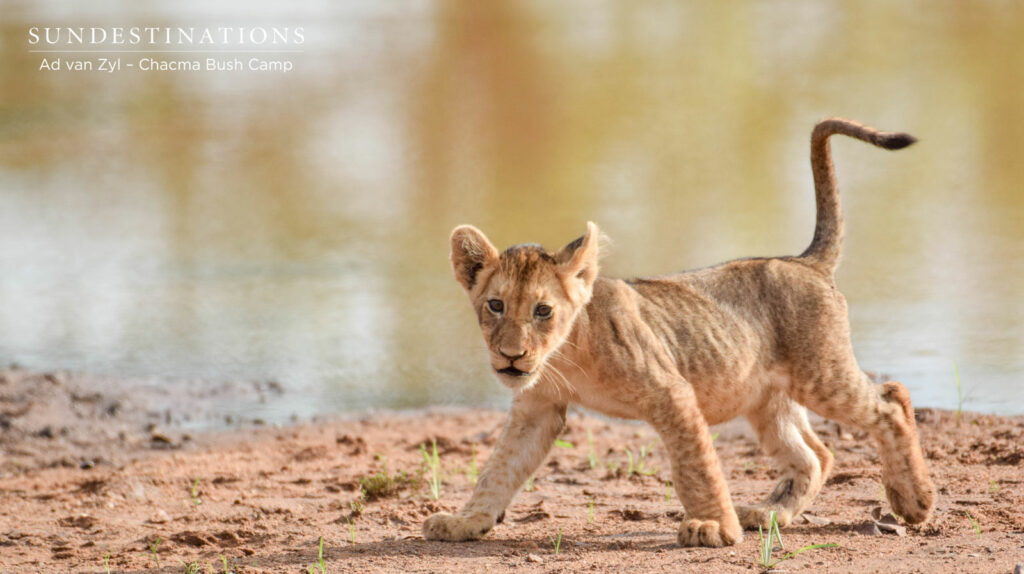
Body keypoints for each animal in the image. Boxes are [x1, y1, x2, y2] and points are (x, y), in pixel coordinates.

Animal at [423, 118, 936, 547]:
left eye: (543, 310)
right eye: (495, 305)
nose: (512, 356)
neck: (566, 353)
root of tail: (804, 260)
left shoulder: (672, 393)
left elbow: (697, 468)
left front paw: (713, 527)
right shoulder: (538, 408)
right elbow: (499, 467)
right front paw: (465, 521)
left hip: (821, 374)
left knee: (892, 399)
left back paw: (914, 501)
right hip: (769, 399)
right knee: (816, 455)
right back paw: (769, 514)